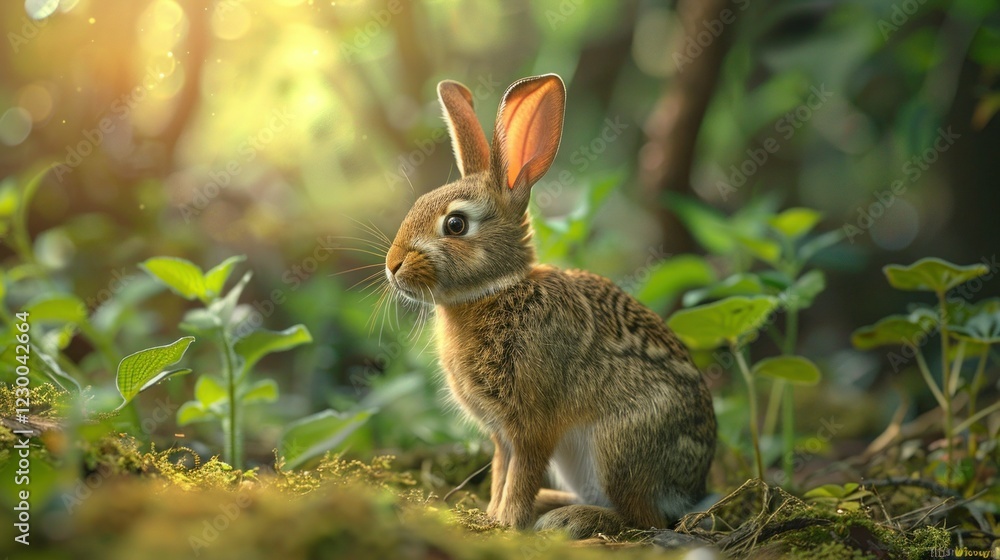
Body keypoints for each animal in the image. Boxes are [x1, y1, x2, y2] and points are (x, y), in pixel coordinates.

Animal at [384, 74, 716, 538]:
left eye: (455, 224)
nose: (392, 266)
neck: (496, 291)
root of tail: (691, 488)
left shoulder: (532, 425)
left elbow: (520, 473)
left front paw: (507, 523)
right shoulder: (501, 434)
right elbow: (502, 471)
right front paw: (491, 515)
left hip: (617, 448)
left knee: (644, 520)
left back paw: (571, 518)